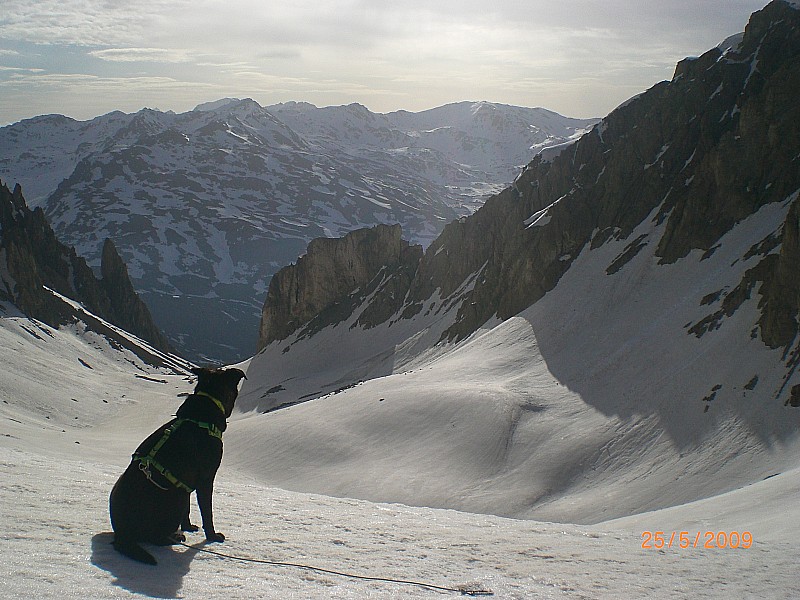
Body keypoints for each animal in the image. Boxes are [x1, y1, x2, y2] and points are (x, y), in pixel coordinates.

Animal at [109, 364, 245, 564]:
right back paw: (174, 537)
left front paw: (188, 526)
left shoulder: (184, 483)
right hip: (173, 498)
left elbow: (188, 510)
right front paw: (212, 536)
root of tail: (122, 534)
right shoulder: (205, 480)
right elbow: (207, 513)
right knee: (154, 538)